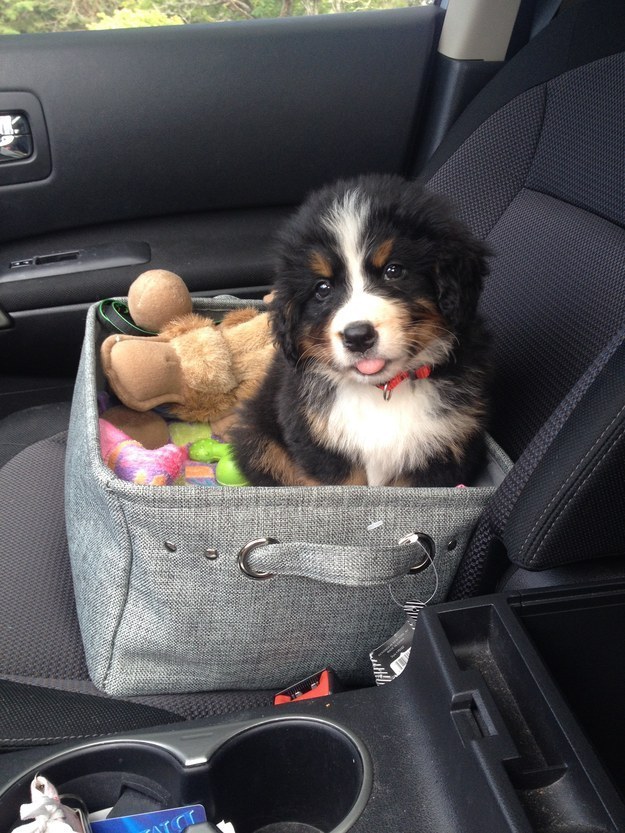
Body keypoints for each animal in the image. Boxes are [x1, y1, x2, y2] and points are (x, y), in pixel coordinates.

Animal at [232, 176, 490, 488]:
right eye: (322, 288)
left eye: (394, 270)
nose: (357, 337)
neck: (383, 390)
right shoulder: (318, 442)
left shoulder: (439, 451)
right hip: (258, 438)